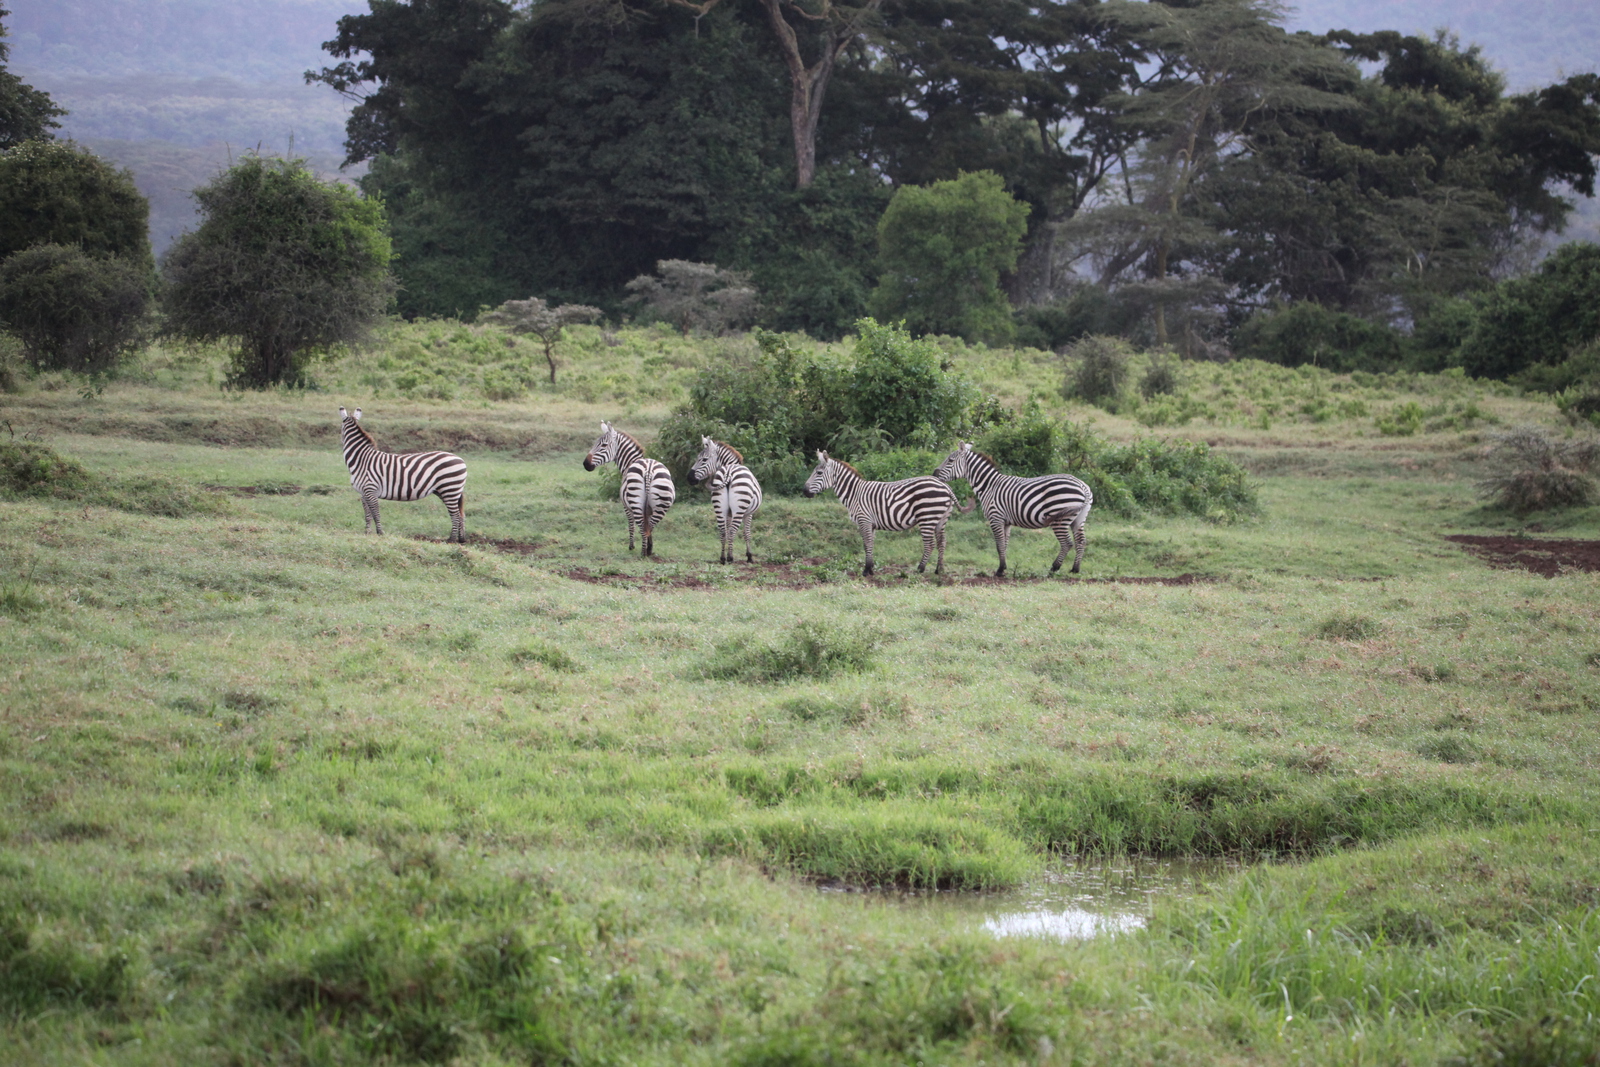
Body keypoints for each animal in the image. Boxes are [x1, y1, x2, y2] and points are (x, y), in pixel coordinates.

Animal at [336, 406, 467, 547]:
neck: (362, 460)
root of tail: (460, 459)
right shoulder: (363, 493)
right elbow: (367, 514)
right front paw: (367, 533)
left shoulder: (371, 489)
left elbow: (376, 513)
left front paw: (380, 533)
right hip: (446, 491)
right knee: (460, 514)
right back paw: (461, 539)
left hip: (449, 488)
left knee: (455, 515)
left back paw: (451, 540)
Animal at [582, 422, 675, 559]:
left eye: (604, 445)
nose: (586, 464)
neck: (630, 462)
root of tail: (648, 470)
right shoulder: (648, 510)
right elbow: (649, 527)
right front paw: (650, 546)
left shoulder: (626, 506)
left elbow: (631, 525)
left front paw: (631, 546)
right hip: (662, 504)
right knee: (649, 526)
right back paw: (648, 551)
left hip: (636, 502)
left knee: (642, 527)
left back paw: (643, 553)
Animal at [688, 435, 761, 566]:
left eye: (704, 459)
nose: (689, 478)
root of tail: (728, 472)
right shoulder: (749, 513)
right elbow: (747, 533)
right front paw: (749, 556)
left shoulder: (728, 513)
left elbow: (727, 531)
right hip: (739, 508)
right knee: (732, 531)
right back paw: (730, 558)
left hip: (719, 506)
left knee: (723, 531)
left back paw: (722, 558)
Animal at [800, 447, 960, 575]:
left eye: (819, 473)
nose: (804, 491)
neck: (854, 493)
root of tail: (945, 486)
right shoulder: (871, 524)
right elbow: (869, 544)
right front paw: (870, 568)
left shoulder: (864, 520)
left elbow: (867, 543)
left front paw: (866, 570)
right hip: (941, 519)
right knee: (942, 542)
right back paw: (939, 570)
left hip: (926, 517)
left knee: (930, 544)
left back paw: (920, 569)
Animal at [934, 441, 1094, 575]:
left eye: (950, 460)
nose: (934, 473)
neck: (989, 486)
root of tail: (1082, 486)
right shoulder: (1006, 522)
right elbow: (1004, 544)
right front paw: (1003, 567)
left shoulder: (995, 518)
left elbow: (999, 545)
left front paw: (999, 570)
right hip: (1078, 518)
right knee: (1081, 541)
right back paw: (1075, 569)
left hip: (1060, 518)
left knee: (1067, 543)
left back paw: (1054, 568)